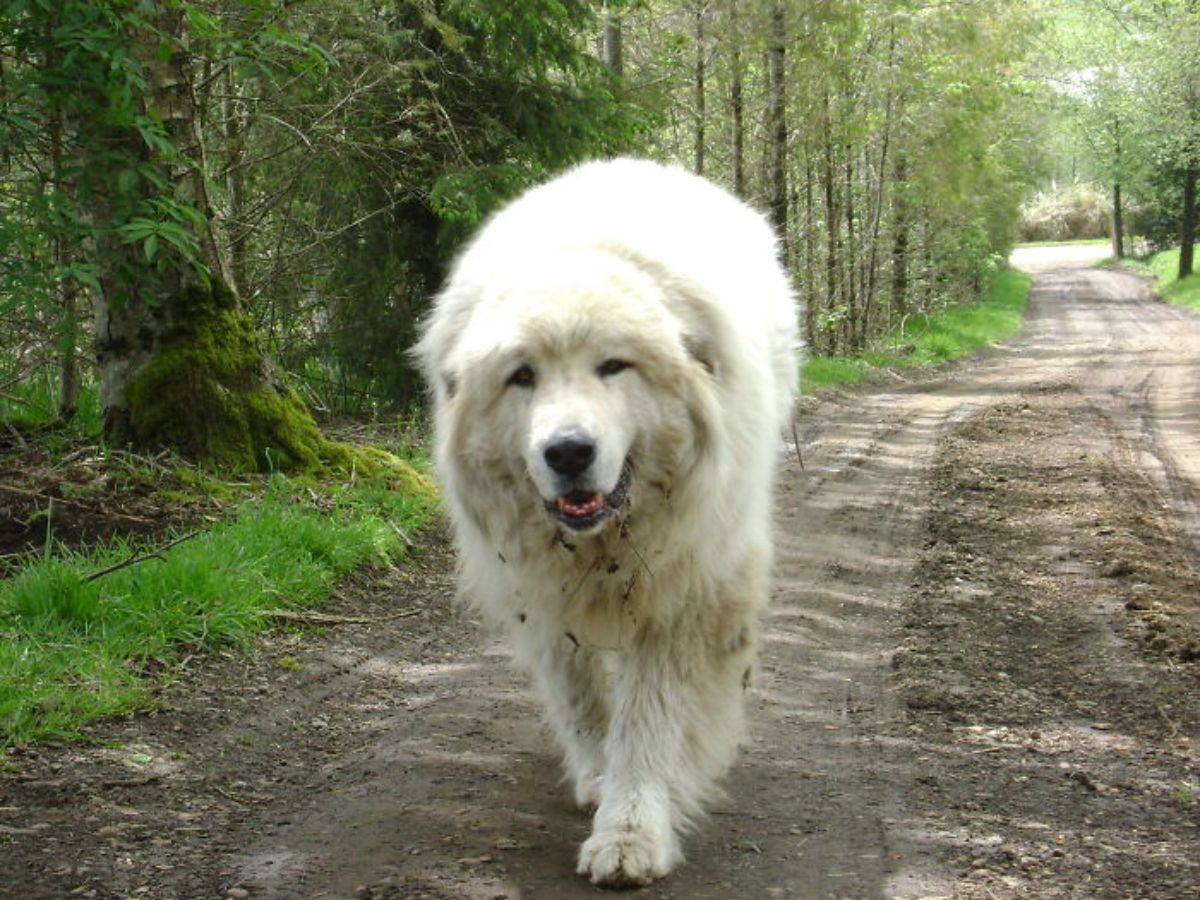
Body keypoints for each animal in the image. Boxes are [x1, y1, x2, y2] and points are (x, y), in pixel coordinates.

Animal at [417, 160, 801, 888]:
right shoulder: (540, 596)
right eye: (522, 377)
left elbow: (648, 723)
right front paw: (599, 776)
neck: (600, 545)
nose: (567, 451)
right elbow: (583, 702)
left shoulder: (681, 591)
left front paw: (631, 831)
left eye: (613, 366)